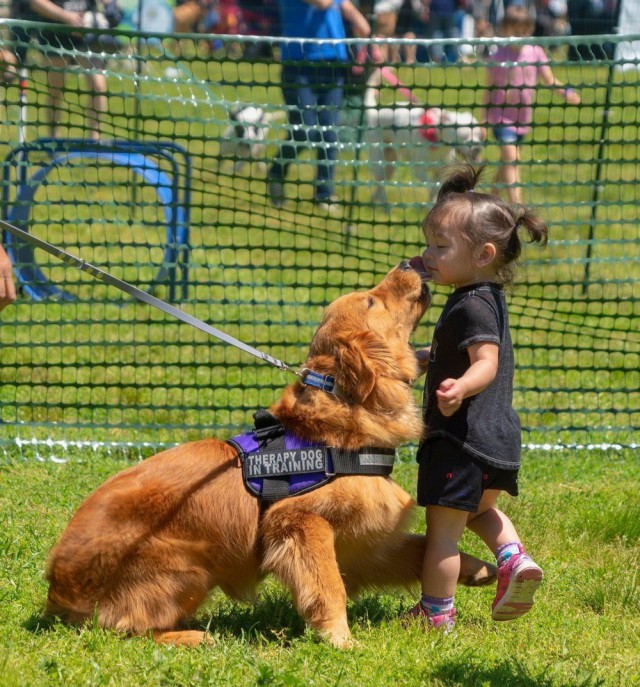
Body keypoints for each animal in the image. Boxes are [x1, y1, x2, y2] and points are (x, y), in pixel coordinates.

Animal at [46, 260, 496, 652]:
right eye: (371, 301)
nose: (408, 262)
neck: (339, 420)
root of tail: (56, 593)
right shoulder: (298, 522)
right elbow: (328, 586)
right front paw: (339, 639)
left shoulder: (363, 542)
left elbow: (421, 550)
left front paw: (477, 568)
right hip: (188, 566)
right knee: (124, 628)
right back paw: (192, 636)